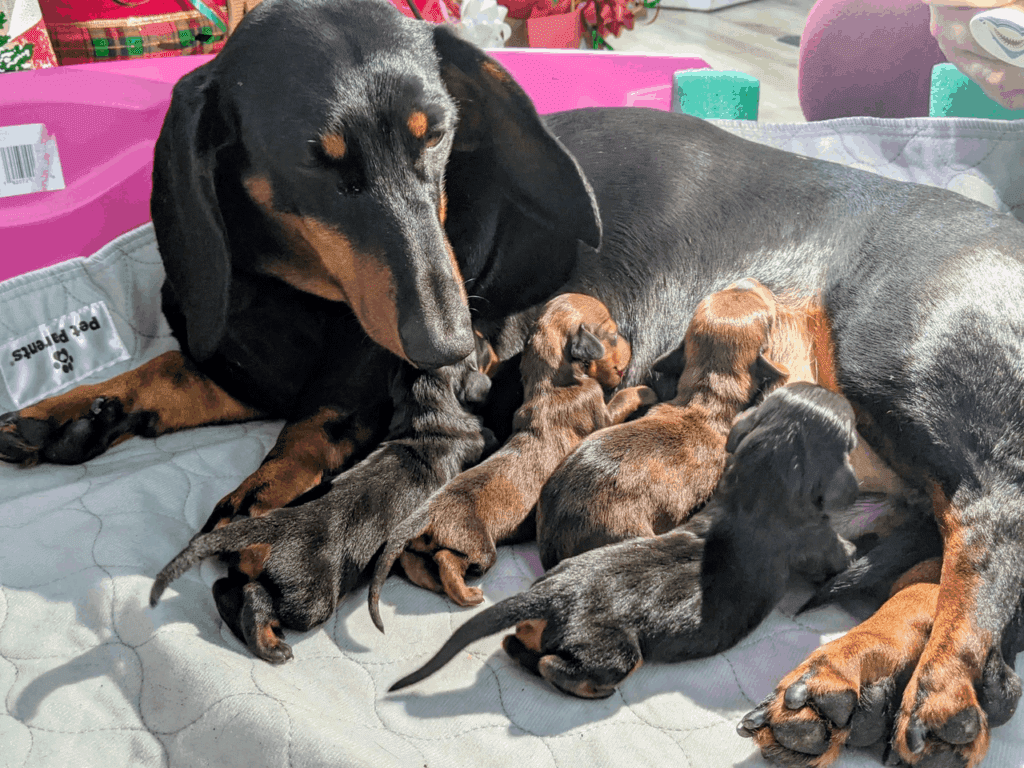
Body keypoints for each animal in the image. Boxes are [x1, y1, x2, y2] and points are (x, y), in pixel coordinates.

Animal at [148, 358, 491, 663]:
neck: (427, 420)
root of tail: (264, 528)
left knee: (224, 589)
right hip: (311, 603)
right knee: (254, 597)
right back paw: (270, 645)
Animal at [376, 290, 655, 618]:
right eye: (611, 334)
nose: (630, 344)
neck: (550, 382)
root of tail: (425, 514)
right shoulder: (602, 413)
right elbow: (623, 397)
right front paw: (645, 391)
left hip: (425, 546)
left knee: (413, 561)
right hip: (479, 546)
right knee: (448, 560)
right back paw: (466, 594)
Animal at [391, 382, 864, 696]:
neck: (759, 485)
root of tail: (552, 593)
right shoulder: (819, 542)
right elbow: (843, 554)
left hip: (542, 622)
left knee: (516, 644)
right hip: (616, 652)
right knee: (556, 666)